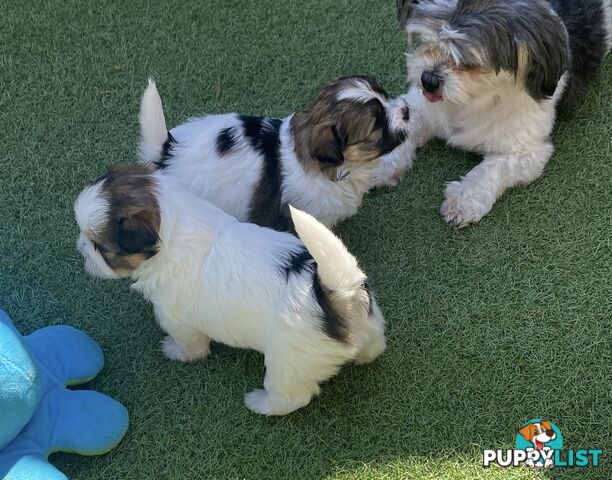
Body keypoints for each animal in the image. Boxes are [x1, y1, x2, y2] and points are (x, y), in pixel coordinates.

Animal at [75, 166, 382, 416]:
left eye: (99, 247)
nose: (80, 250)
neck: (173, 228)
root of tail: (335, 295)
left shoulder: (176, 319)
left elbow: (188, 344)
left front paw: (174, 351)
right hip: (370, 323)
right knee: (376, 345)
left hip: (288, 363)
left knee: (291, 396)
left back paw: (260, 403)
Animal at [372, 0, 612, 228]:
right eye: (427, 42)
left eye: (468, 63)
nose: (428, 79)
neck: (472, 100)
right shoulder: (419, 108)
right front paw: (379, 165)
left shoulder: (527, 151)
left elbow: (491, 170)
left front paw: (464, 200)